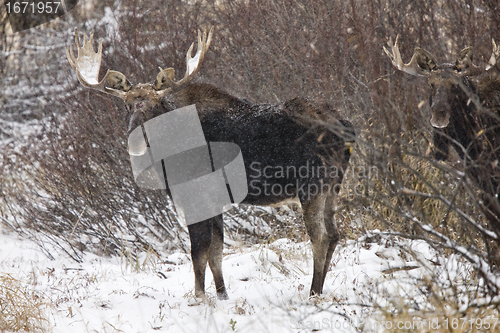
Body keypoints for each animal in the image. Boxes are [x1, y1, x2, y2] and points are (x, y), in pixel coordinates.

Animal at [67, 27, 356, 298]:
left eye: (154, 105)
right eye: (127, 106)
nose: (136, 140)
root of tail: (346, 126)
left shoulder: (194, 195)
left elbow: (198, 252)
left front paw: (199, 298)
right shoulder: (215, 201)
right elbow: (216, 251)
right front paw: (222, 295)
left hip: (311, 183)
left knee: (320, 237)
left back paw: (313, 292)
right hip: (333, 185)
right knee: (334, 234)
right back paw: (319, 288)